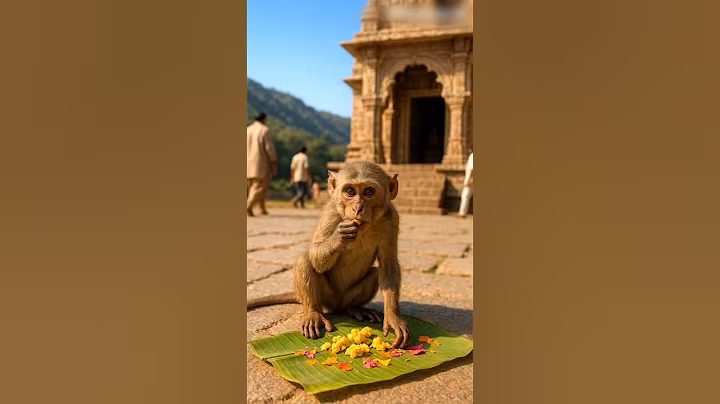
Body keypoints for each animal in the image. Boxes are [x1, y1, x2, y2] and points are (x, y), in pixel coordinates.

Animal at [247, 161, 410, 348]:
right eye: (350, 191)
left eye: (369, 191)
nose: (357, 208)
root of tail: (336, 304)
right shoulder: (330, 213)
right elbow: (315, 258)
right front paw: (339, 237)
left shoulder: (391, 218)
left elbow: (388, 264)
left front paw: (393, 318)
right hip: (326, 297)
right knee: (304, 260)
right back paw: (313, 314)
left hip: (346, 298)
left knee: (375, 273)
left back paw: (355, 308)